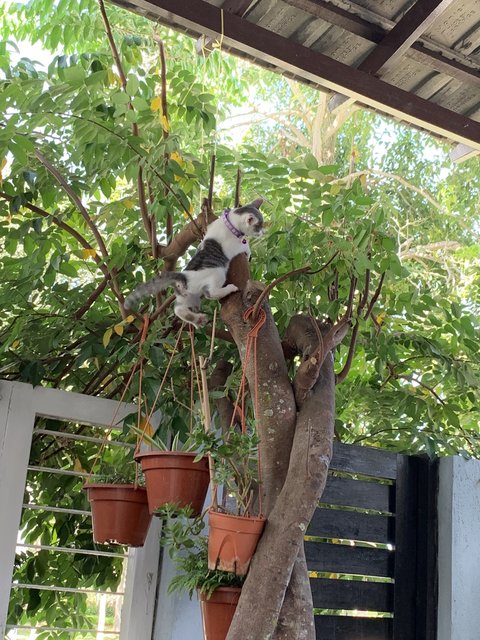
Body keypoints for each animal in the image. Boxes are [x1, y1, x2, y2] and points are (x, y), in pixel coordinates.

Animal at [124, 199, 264, 330]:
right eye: (259, 225)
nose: (263, 232)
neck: (230, 224)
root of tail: (183, 276)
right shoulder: (232, 246)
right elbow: (244, 246)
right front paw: (248, 250)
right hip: (217, 273)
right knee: (210, 293)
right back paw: (229, 289)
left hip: (187, 296)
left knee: (178, 309)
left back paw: (196, 319)